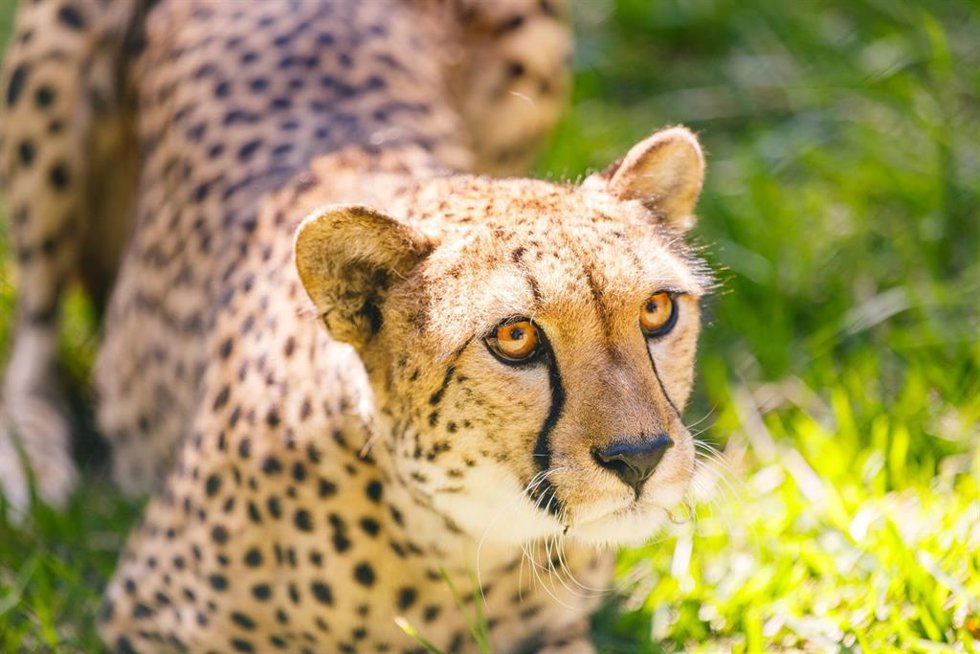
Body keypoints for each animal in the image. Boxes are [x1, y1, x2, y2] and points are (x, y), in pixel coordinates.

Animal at [0, 1, 712, 652]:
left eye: (656, 310)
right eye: (516, 339)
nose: (641, 457)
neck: (450, 541)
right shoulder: (148, 617)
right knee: (33, 330)